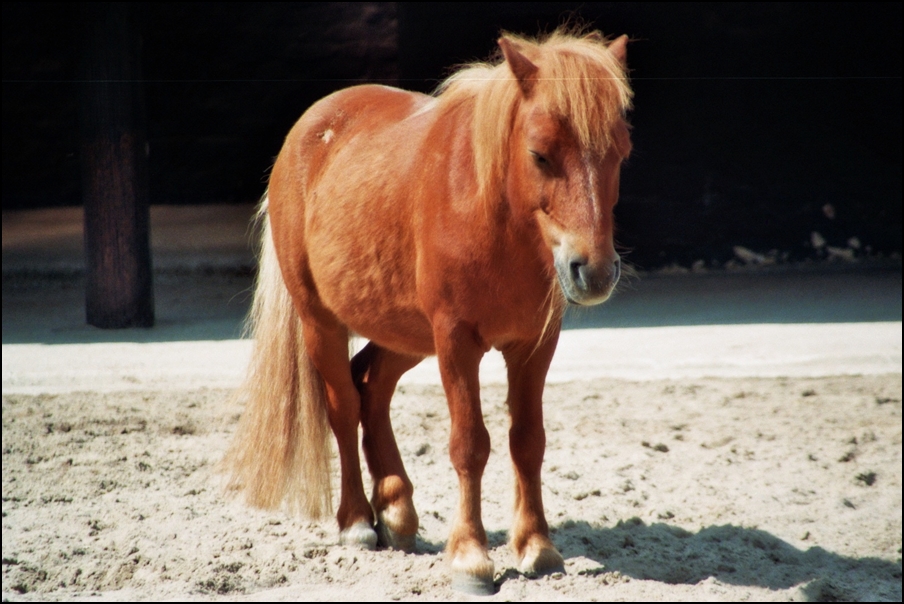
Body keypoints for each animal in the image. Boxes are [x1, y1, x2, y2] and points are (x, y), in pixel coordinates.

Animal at [226, 29, 632, 596]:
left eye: (621, 152)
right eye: (540, 154)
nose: (592, 271)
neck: (494, 217)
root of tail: (309, 129)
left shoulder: (533, 347)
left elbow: (527, 442)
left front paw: (537, 547)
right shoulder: (456, 342)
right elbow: (470, 445)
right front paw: (471, 558)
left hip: (406, 336)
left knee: (371, 386)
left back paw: (396, 509)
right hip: (322, 324)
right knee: (343, 404)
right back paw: (357, 520)